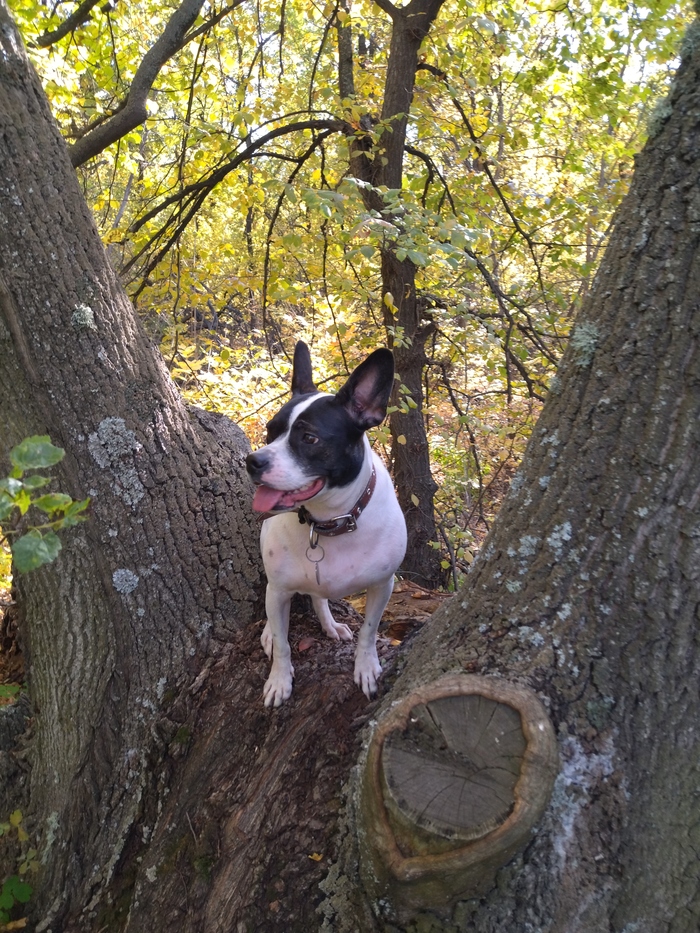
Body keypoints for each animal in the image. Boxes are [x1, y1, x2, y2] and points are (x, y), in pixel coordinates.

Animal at [247, 342, 408, 708]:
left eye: (309, 438)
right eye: (270, 431)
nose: (252, 460)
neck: (328, 520)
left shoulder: (383, 585)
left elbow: (369, 630)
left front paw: (366, 667)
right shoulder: (279, 591)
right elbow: (284, 644)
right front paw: (279, 680)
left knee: (319, 597)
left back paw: (330, 625)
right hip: (276, 587)